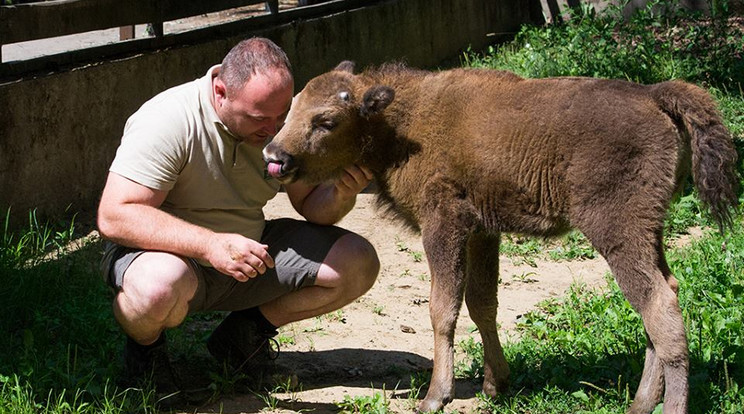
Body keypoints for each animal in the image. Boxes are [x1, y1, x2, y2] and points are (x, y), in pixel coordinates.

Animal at [262, 62, 740, 414]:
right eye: (291, 108)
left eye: (326, 120)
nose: (275, 155)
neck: (399, 122)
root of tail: (653, 94)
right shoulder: (482, 232)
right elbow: (482, 303)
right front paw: (497, 384)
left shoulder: (445, 226)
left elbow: (443, 308)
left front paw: (435, 396)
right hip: (647, 232)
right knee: (662, 293)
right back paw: (641, 403)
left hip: (618, 230)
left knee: (658, 304)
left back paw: (669, 406)